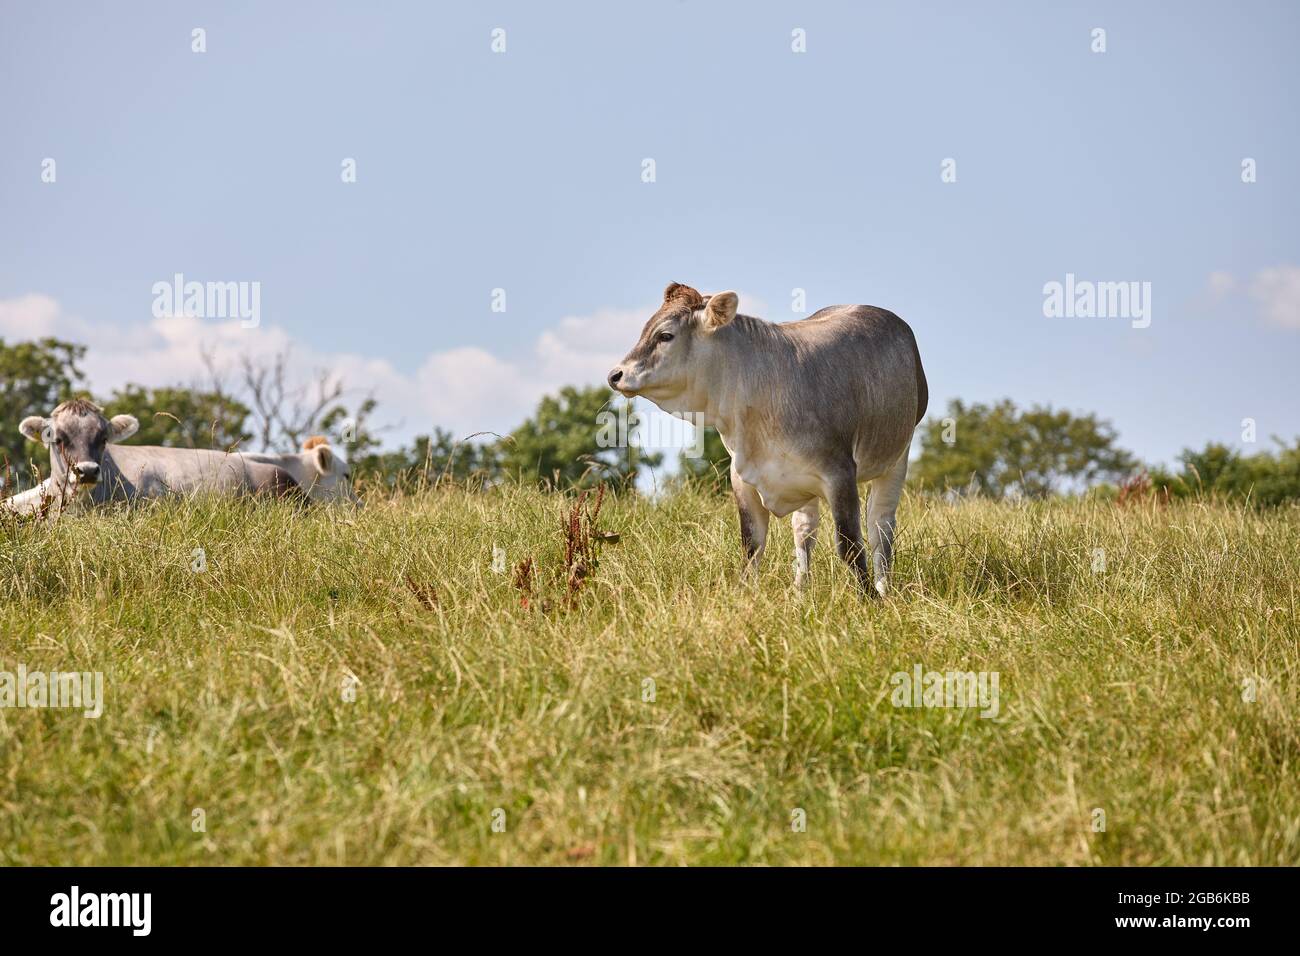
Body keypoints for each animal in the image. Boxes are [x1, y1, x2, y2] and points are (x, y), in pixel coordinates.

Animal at [607, 283, 927, 597]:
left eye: (665, 335)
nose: (615, 374)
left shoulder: (840, 474)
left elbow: (849, 544)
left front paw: (868, 598)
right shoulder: (742, 479)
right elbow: (752, 545)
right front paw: (744, 594)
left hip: (897, 458)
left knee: (880, 526)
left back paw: (883, 588)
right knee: (805, 530)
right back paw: (800, 591)